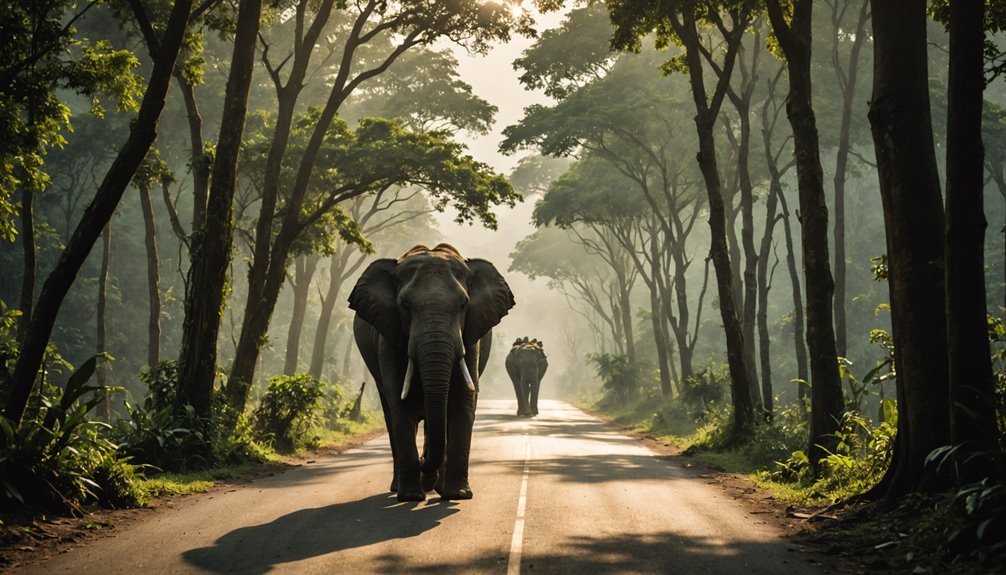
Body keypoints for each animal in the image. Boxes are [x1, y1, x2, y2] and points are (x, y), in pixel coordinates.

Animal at [350, 242, 515, 498]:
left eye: (463, 305)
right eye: (405, 306)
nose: (422, 461)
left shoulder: (471, 337)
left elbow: (463, 403)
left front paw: (457, 495)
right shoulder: (388, 336)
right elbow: (401, 405)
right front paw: (410, 496)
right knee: (390, 414)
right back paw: (403, 486)